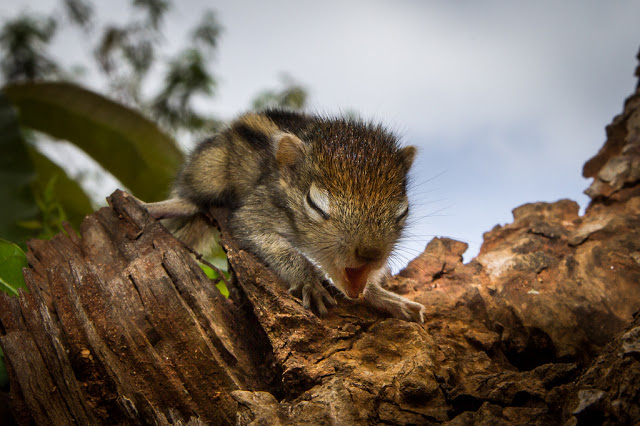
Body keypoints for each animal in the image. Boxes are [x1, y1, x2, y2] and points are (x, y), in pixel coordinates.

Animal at [143, 110, 428, 322]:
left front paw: (389, 299)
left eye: (402, 211)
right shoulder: (256, 211)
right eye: (315, 205)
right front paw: (308, 281)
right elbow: (269, 241)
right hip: (208, 168)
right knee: (191, 201)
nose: (371, 253)